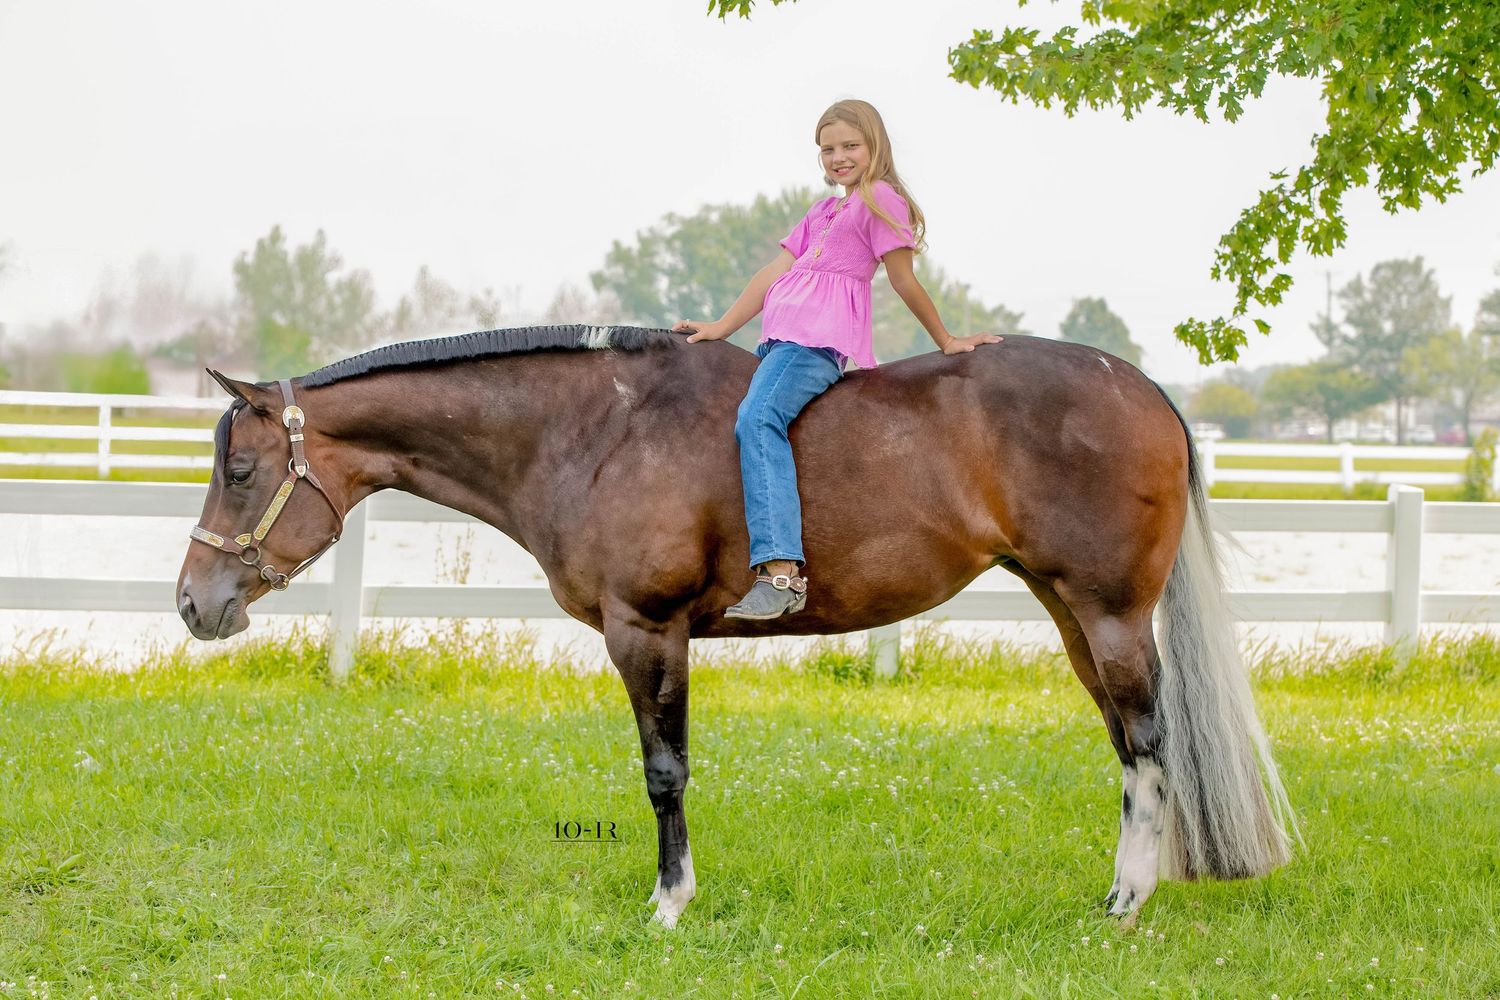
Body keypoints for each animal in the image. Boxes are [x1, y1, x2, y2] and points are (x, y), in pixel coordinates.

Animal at [175, 324, 1296, 928]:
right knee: (1129, 747)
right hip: (1070, 614)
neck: (596, 429)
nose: (194, 602)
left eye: (243, 470)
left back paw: (1127, 901)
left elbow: (664, 771)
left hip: (1107, 613)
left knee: (1146, 744)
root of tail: (1148, 392)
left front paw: (669, 902)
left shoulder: (647, 630)